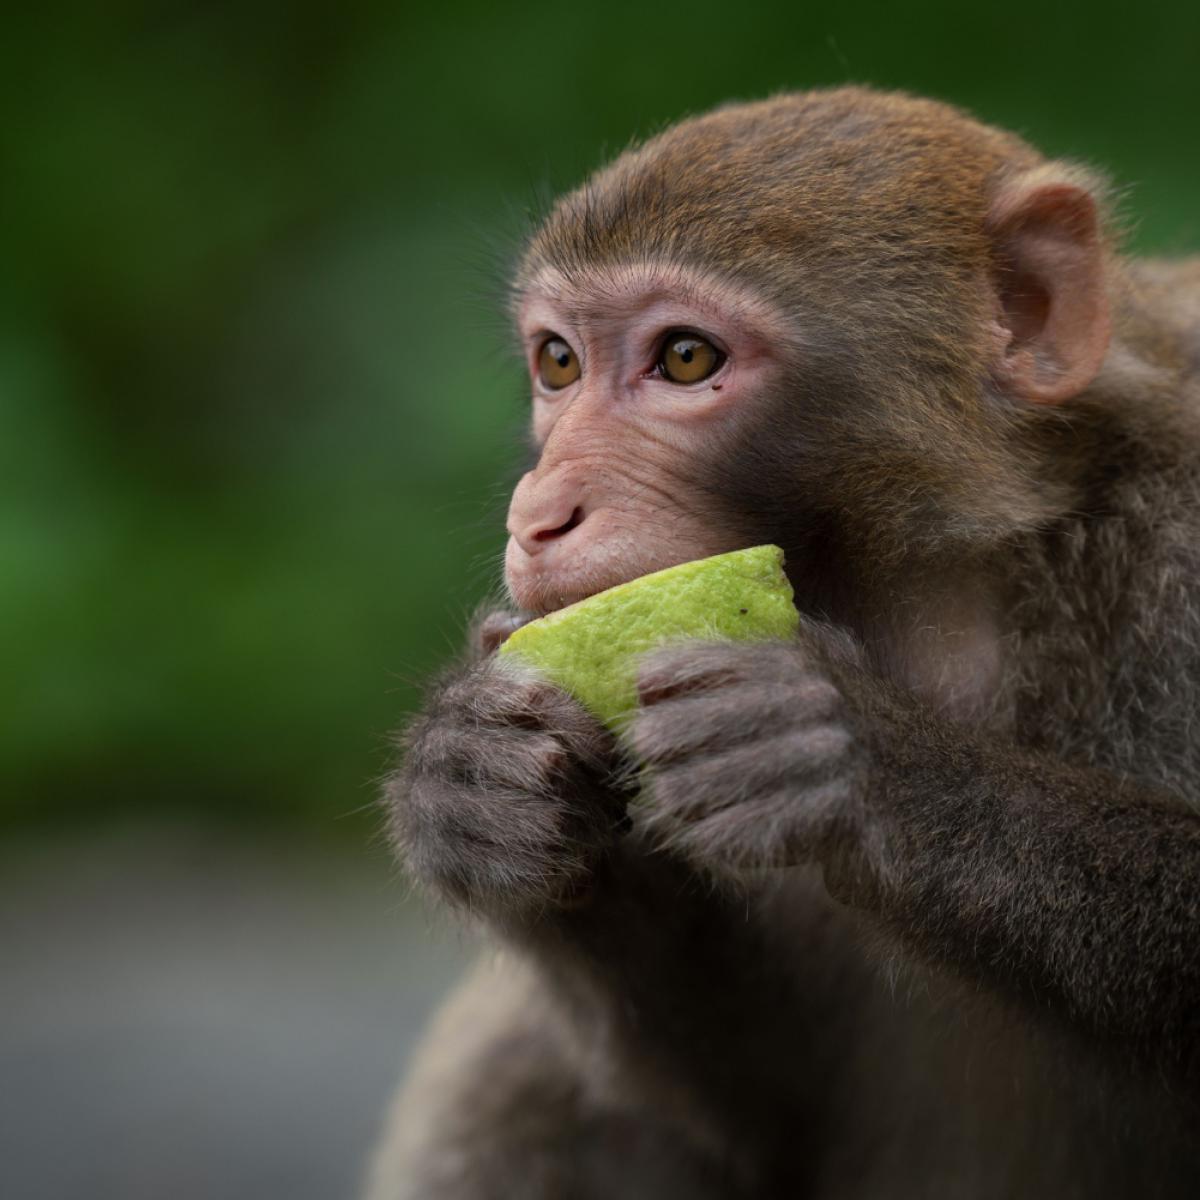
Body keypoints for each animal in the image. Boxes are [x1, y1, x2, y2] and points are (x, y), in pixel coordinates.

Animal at [364, 91, 1200, 1200]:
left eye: (685, 358)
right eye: (558, 361)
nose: (537, 514)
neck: (948, 600)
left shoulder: (1179, 553)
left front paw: (853, 758)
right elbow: (762, 1101)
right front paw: (469, 774)